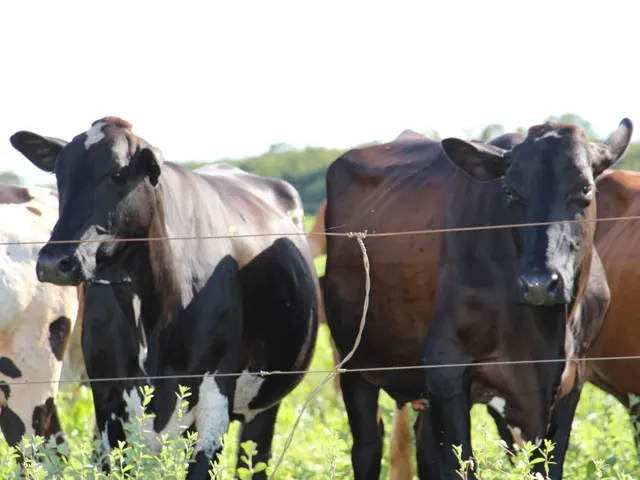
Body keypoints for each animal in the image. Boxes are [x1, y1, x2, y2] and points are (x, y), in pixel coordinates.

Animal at [10, 117, 320, 480]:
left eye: (118, 173)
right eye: (60, 174)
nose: (53, 262)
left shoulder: (214, 395)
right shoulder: (108, 398)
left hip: (264, 405)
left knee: (253, 458)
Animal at [322, 121, 632, 480]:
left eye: (584, 189)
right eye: (509, 192)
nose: (539, 284)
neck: (545, 334)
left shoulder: (573, 379)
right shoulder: (446, 369)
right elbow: (460, 464)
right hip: (354, 363)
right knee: (368, 447)